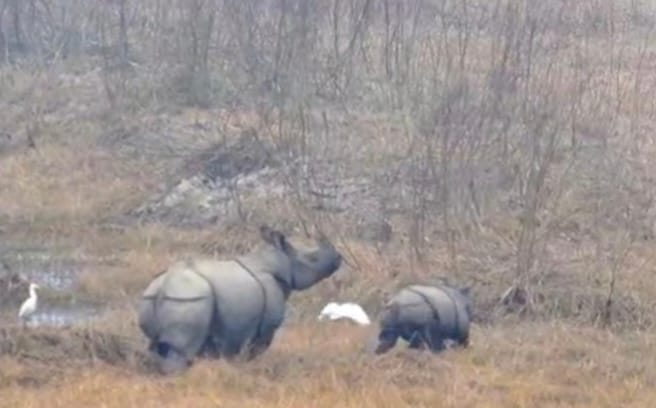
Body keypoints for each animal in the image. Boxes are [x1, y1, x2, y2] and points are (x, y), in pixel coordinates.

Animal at [138, 225, 343, 374]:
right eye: (313, 258)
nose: (338, 258)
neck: (280, 260)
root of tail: (163, 287)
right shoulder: (265, 324)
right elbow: (255, 347)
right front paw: (248, 368)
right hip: (189, 298)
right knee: (180, 350)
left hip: (157, 298)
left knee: (158, 348)